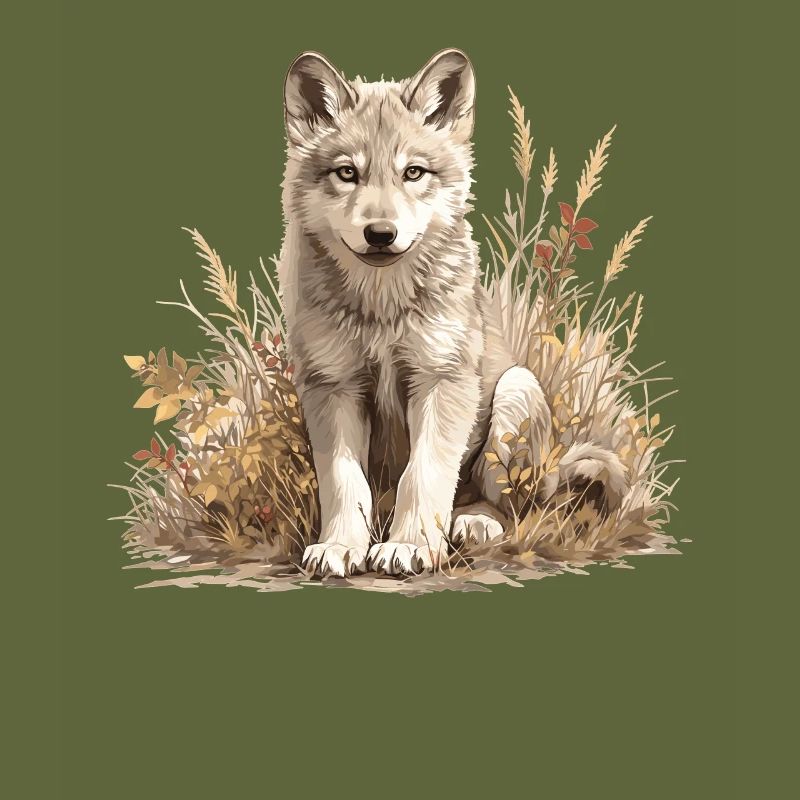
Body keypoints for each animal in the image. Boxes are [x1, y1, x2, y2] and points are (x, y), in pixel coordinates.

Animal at [278, 49, 627, 577]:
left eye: (413, 173)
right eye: (347, 173)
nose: (380, 234)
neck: (382, 308)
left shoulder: (442, 380)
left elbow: (423, 474)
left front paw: (409, 546)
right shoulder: (332, 386)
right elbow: (343, 482)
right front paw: (339, 546)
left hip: (515, 392)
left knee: (508, 507)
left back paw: (474, 523)